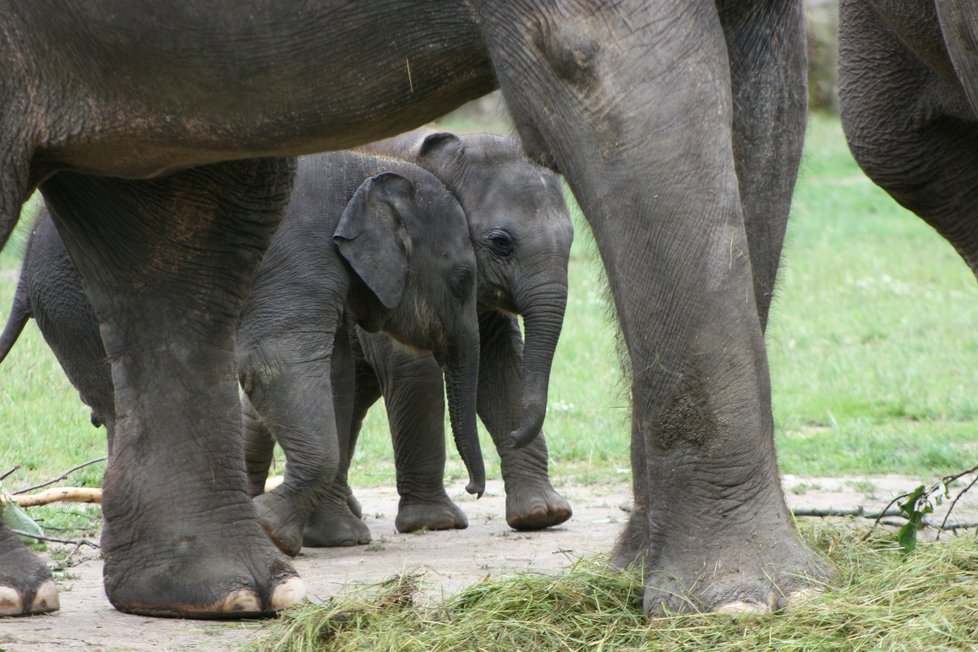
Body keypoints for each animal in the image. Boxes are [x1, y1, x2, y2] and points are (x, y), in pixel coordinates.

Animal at [0, 152, 484, 556]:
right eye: (463, 279)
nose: (475, 490)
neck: (368, 166)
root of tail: (23, 267)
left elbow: (335, 374)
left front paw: (337, 539)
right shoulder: (300, 256)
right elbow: (276, 360)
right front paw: (272, 530)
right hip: (73, 304)